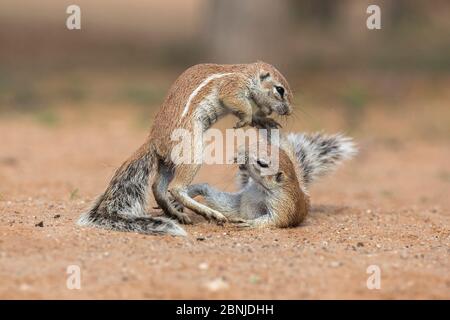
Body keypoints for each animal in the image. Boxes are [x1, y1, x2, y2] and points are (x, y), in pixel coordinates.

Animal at [78, 60, 294, 235]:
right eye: (280, 90)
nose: (290, 111)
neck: (246, 73)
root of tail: (153, 141)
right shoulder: (232, 88)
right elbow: (239, 105)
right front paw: (247, 120)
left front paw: (263, 120)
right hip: (192, 151)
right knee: (175, 188)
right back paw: (210, 213)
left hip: (168, 162)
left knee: (158, 186)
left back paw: (175, 213)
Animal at [185, 132, 356, 228]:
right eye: (257, 143)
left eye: (262, 163)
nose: (241, 153)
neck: (260, 187)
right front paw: (196, 188)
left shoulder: (283, 204)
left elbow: (276, 219)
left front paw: (251, 223)